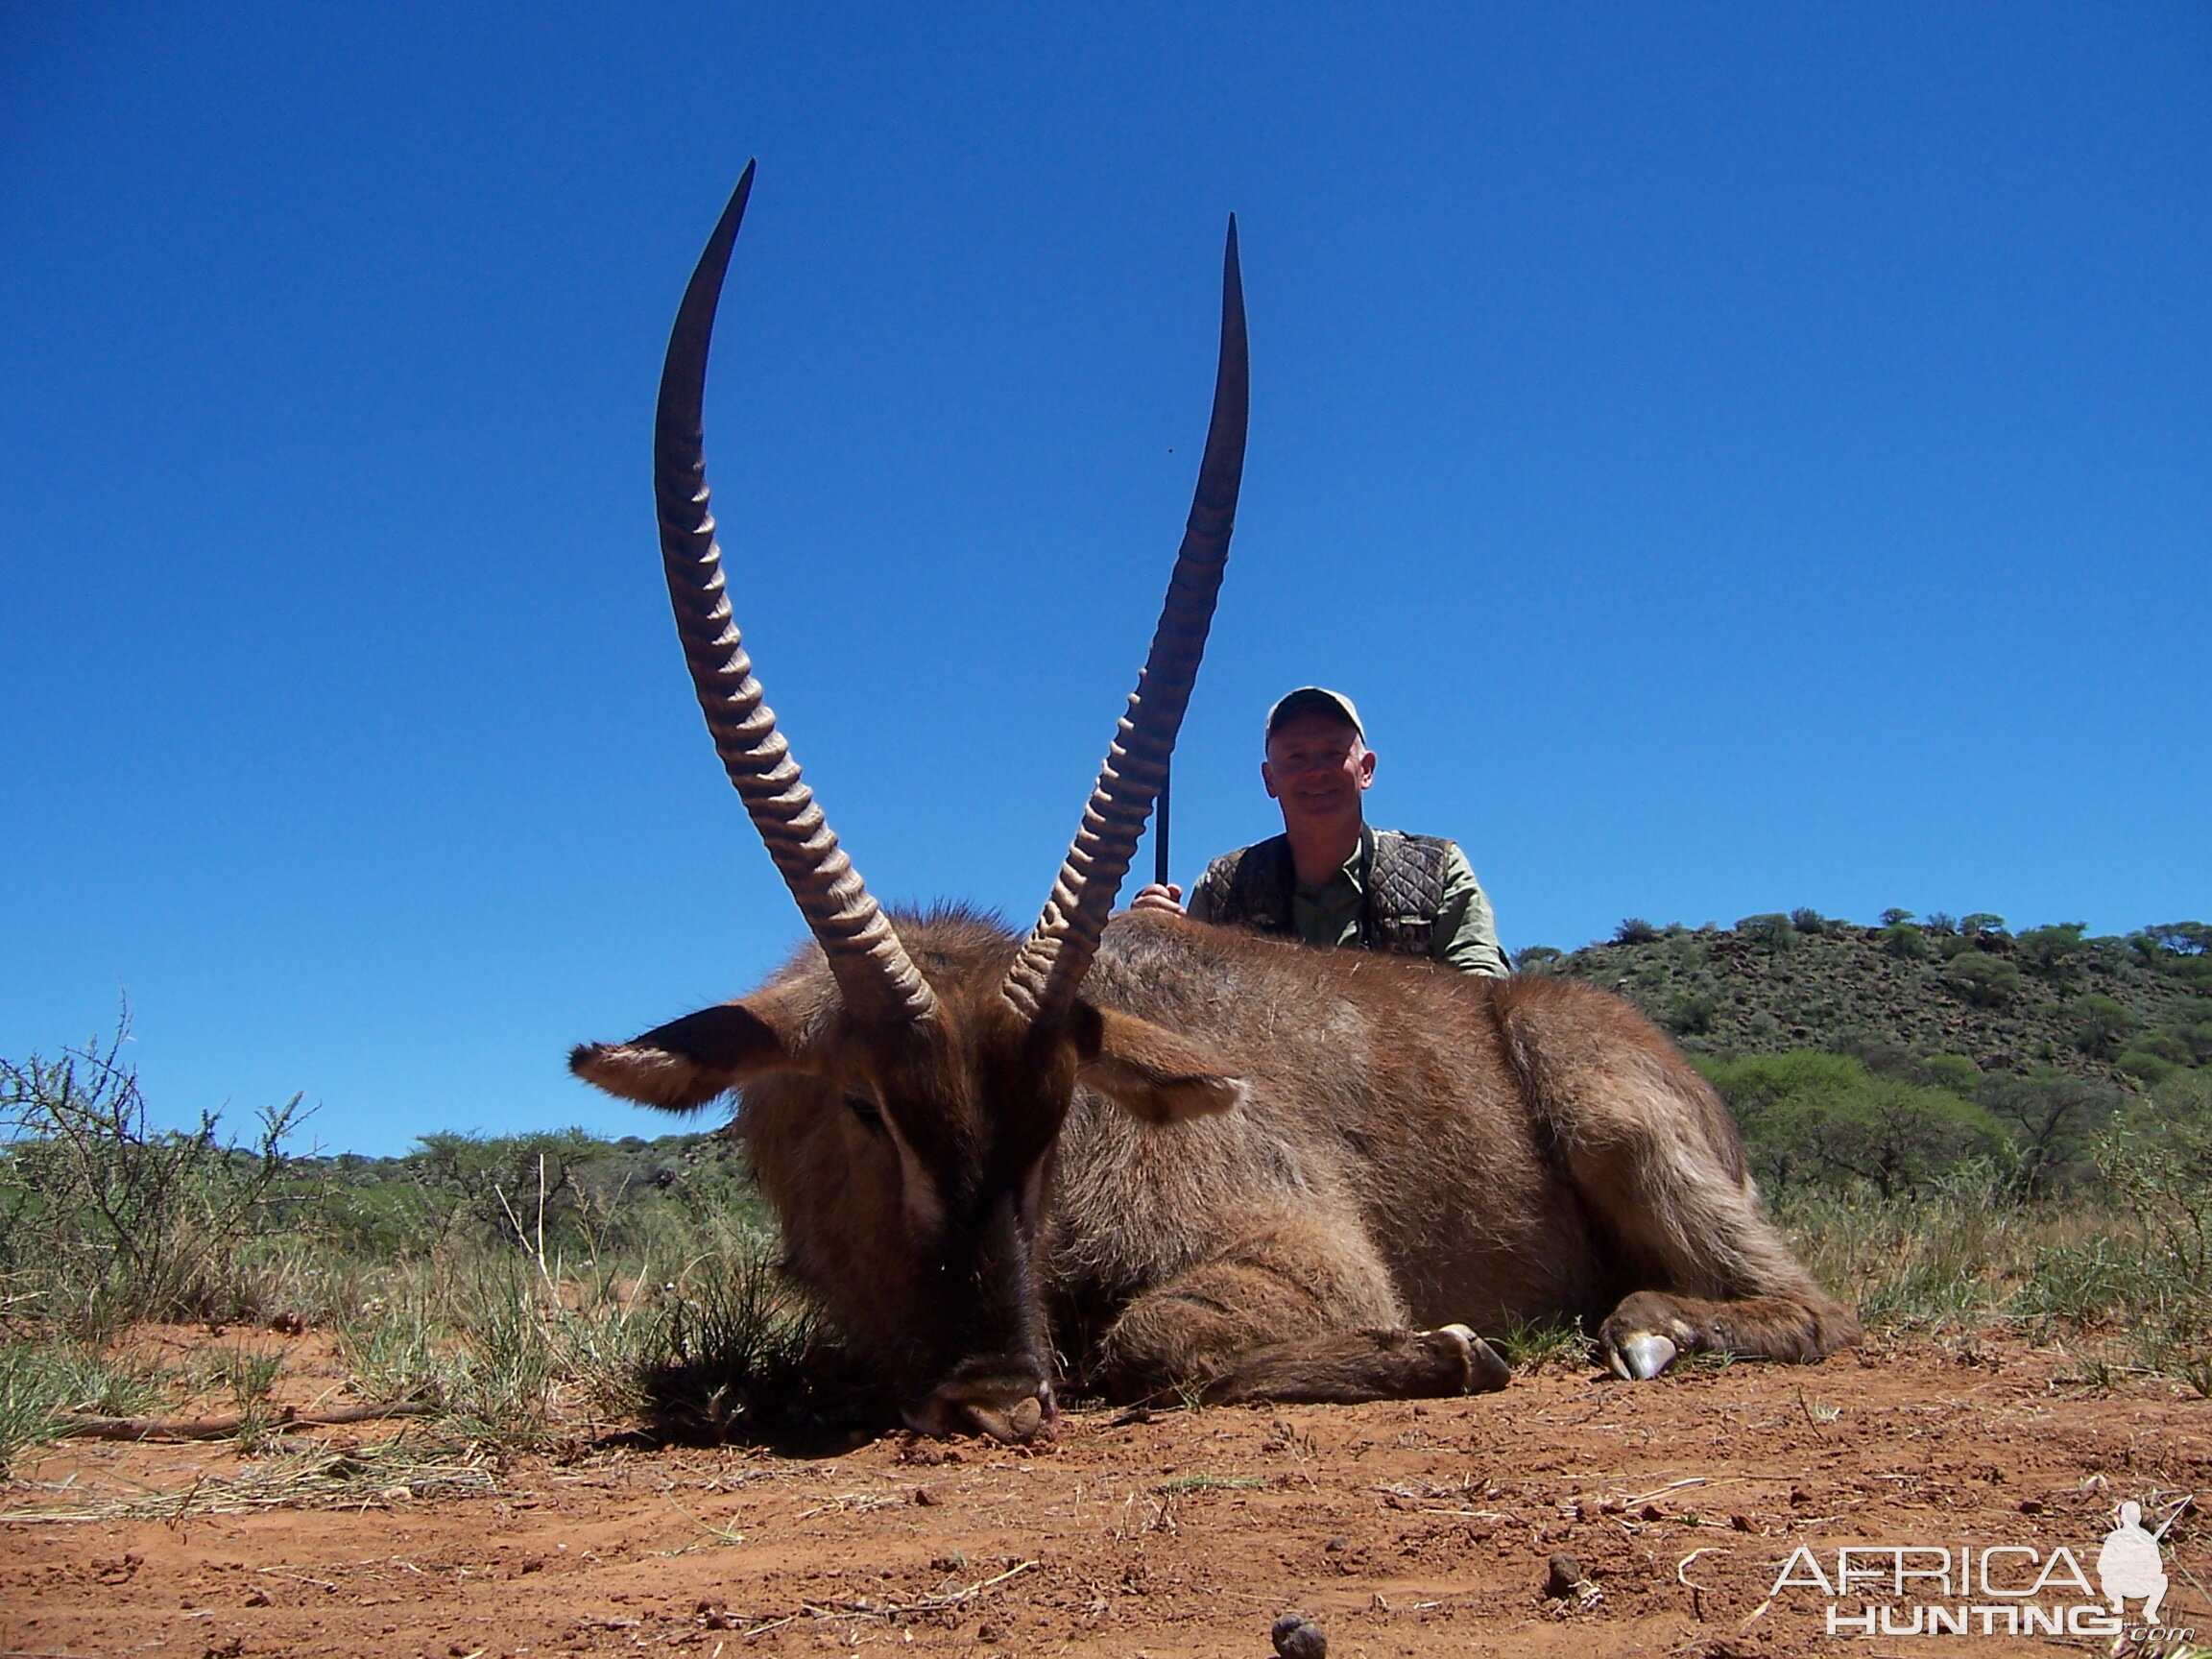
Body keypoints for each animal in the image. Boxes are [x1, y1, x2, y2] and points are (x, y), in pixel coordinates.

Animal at [579, 169, 1858, 1442]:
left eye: (1056, 1117)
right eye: (861, 1105)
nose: (997, 1399)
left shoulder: (1308, 1255)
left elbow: (1150, 1344)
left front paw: (1452, 1348)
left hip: (1613, 1119)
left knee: (1815, 1307)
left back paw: (1650, 1327)